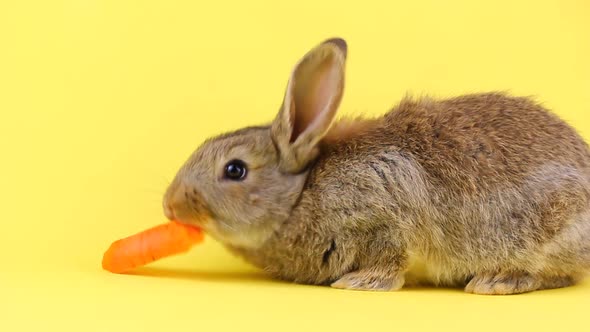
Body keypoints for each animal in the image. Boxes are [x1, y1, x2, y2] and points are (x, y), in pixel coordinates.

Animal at [163, 37, 590, 294]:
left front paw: (358, 282)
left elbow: (390, 256)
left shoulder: (385, 211)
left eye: (235, 170)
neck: (300, 197)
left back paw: (498, 280)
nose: (170, 205)